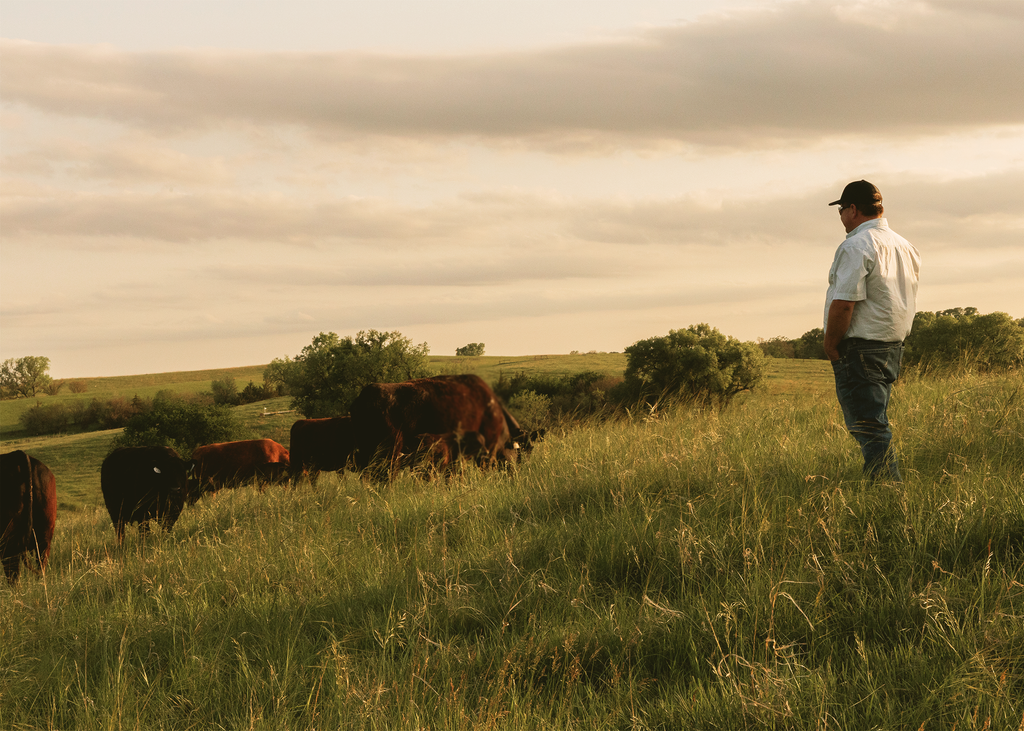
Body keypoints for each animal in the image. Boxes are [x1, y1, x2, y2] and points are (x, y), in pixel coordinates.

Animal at [350, 372, 524, 475]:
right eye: (516, 450)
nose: (516, 470)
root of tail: (364, 396)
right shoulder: (487, 449)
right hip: (389, 448)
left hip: (367, 448)